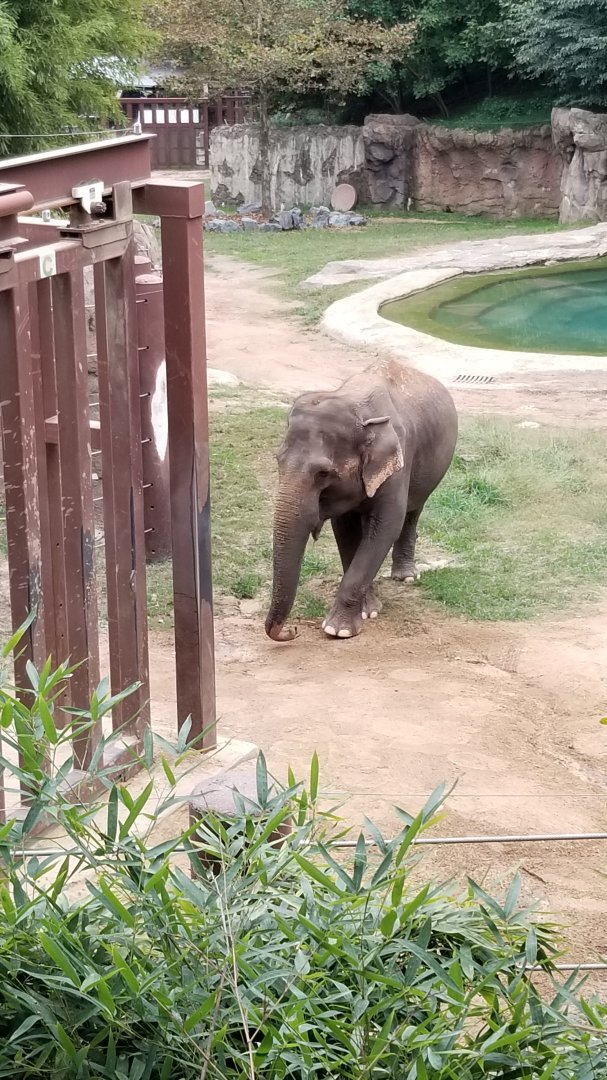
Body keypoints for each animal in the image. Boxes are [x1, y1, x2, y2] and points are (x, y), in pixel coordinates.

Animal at [265, 359, 458, 642]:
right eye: (278, 460)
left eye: (323, 473)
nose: (292, 630)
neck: (354, 403)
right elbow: (346, 531)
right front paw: (368, 611)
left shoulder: (399, 462)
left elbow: (387, 526)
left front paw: (338, 630)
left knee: (413, 512)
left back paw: (406, 578)